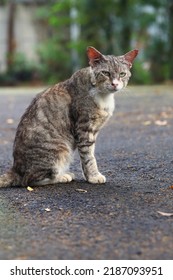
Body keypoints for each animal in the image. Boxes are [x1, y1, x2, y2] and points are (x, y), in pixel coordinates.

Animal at [0, 46, 138, 187]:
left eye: (122, 74)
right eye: (106, 73)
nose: (115, 84)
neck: (103, 96)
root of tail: (15, 170)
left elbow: (89, 154)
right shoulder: (84, 129)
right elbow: (88, 157)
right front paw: (93, 176)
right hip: (60, 149)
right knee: (29, 180)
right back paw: (62, 176)